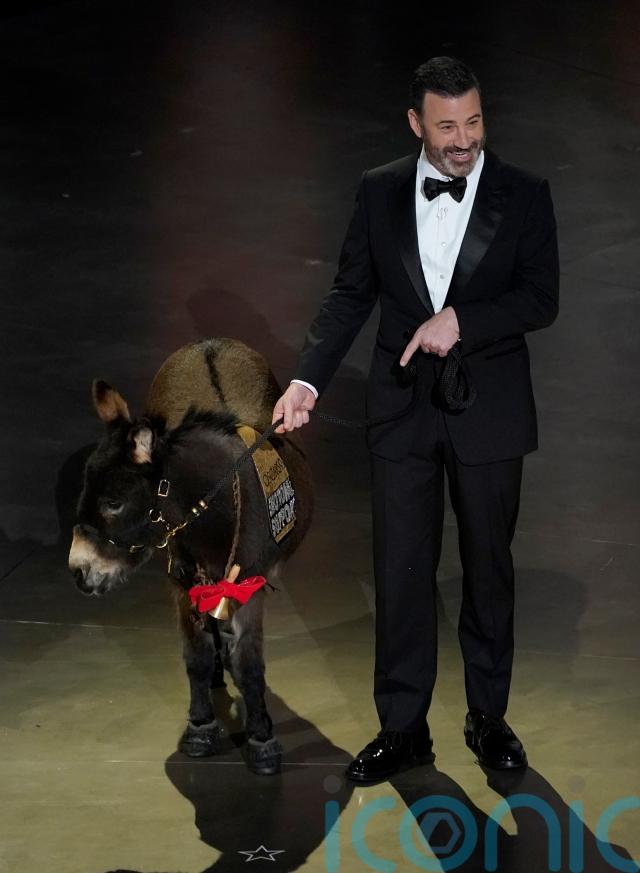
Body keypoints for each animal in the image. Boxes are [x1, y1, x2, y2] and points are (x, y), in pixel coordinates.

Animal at [68, 338, 313, 774]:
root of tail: (210, 344)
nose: (78, 571)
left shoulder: (248, 584)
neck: (212, 508)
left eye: (114, 503)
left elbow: (249, 664)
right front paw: (200, 727)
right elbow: (195, 655)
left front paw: (262, 738)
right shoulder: (182, 579)